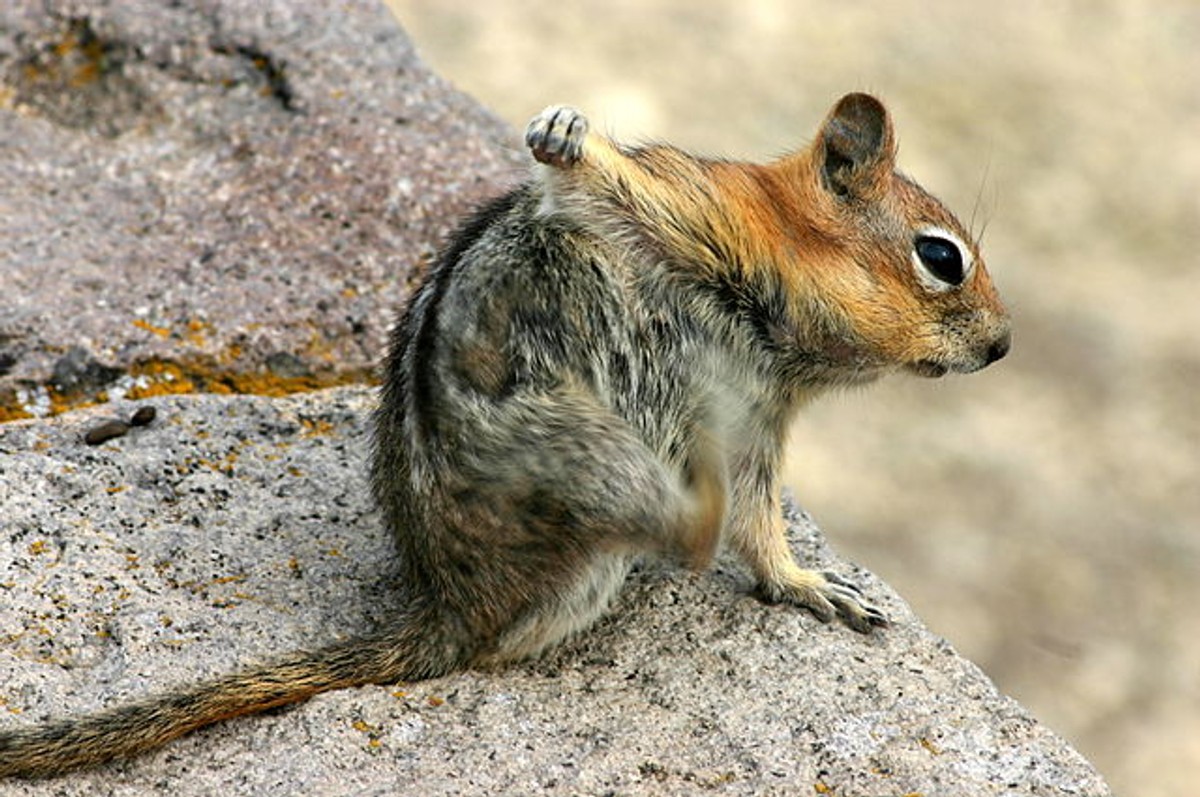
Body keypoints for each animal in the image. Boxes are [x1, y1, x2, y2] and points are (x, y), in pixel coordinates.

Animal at [0, 92, 1010, 778]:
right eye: (941, 257)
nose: (1003, 346)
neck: (779, 317)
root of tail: (450, 608)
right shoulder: (691, 217)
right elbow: (589, 182)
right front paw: (562, 131)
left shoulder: (760, 421)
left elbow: (763, 533)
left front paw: (807, 586)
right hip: (581, 459)